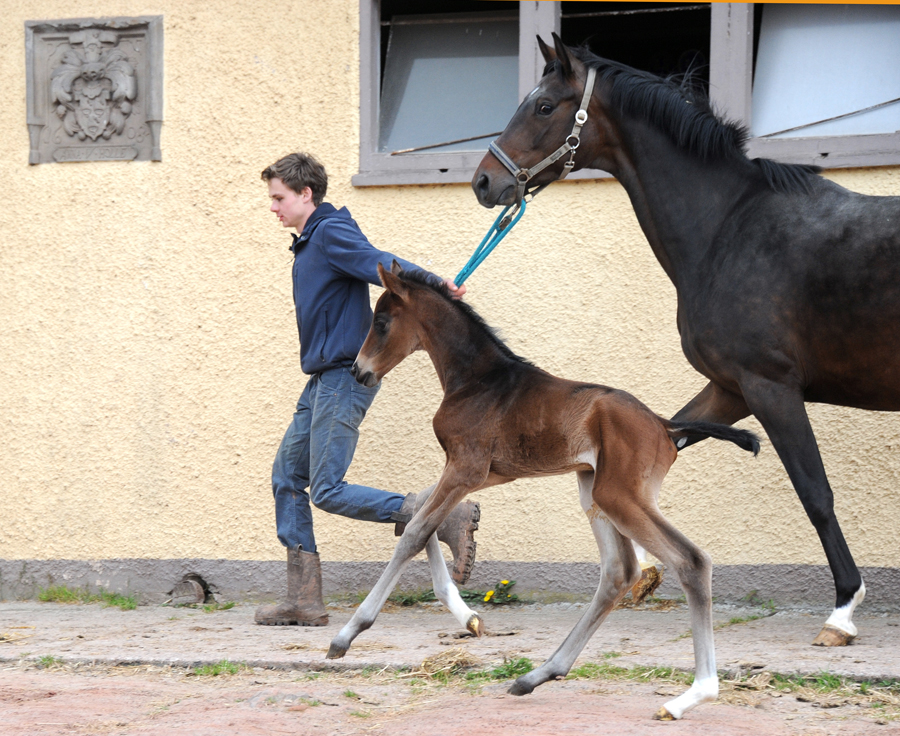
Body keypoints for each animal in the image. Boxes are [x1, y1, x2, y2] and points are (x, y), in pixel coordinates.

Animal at [326, 264, 760, 720]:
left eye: (380, 322)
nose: (358, 371)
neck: (478, 380)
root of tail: (665, 425)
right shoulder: (486, 473)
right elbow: (419, 517)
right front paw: (462, 610)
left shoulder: (465, 467)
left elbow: (413, 532)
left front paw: (347, 635)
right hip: (594, 491)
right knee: (619, 571)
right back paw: (539, 674)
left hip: (619, 495)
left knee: (689, 560)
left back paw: (691, 696)